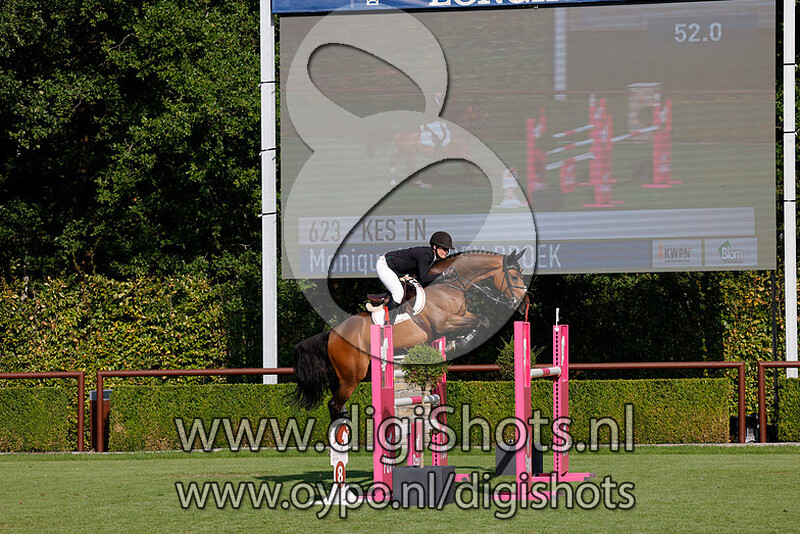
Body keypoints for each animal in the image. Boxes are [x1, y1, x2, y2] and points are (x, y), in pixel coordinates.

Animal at [291, 250, 530, 422]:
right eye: (514, 275)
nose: (524, 305)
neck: (450, 286)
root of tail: (332, 334)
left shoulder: (461, 316)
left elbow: (481, 320)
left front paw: (453, 344)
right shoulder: (445, 323)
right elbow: (481, 322)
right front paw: (459, 343)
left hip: (340, 377)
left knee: (336, 404)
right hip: (352, 376)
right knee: (334, 405)